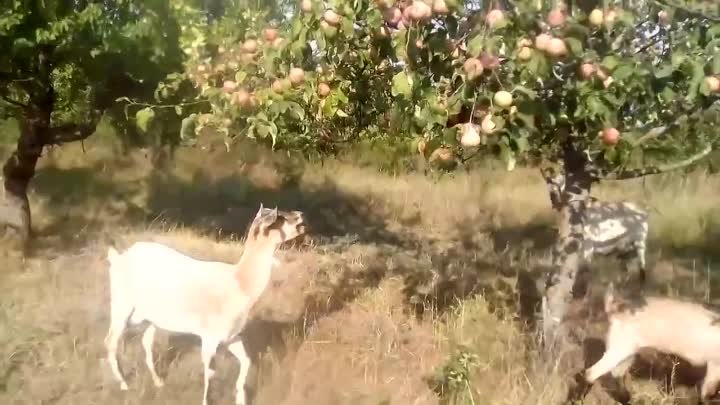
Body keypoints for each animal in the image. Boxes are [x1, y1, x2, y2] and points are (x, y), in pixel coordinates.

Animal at [102, 205, 306, 404]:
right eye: (279, 219)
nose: (300, 215)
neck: (240, 283)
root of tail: (119, 257)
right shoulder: (209, 339)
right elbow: (210, 374)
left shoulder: (231, 337)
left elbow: (247, 361)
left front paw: (241, 399)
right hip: (121, 305)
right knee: (111, 340)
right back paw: (124, 384)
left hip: (148, 317)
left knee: (144, 342)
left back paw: (158, 381)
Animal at [588, 282, 720, 402]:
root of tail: (615, 310)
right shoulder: (714, 363)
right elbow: (707, 391)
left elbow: (706, 390)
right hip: (619, 348)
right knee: (591, 373)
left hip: (627, 352)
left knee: (616, 375)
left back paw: (626, 399)